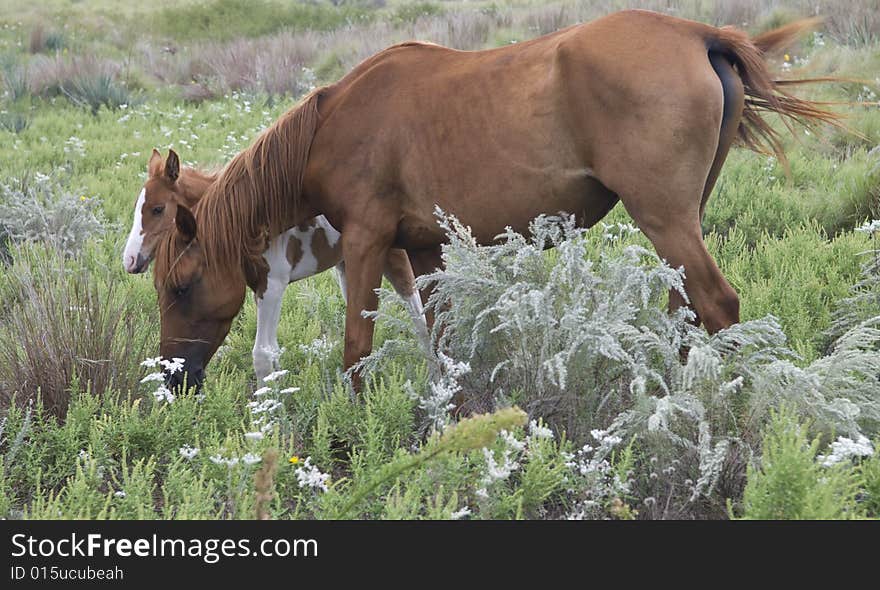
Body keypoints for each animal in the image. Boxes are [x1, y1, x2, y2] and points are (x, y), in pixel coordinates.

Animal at [125, 150, 424, 386]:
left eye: (157, 209)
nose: (129, 260)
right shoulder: (257, 286)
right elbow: (272, 354)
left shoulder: (273, 285)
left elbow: (263, 354)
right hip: (345, 265)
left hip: (390, 255)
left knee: (416, 307)